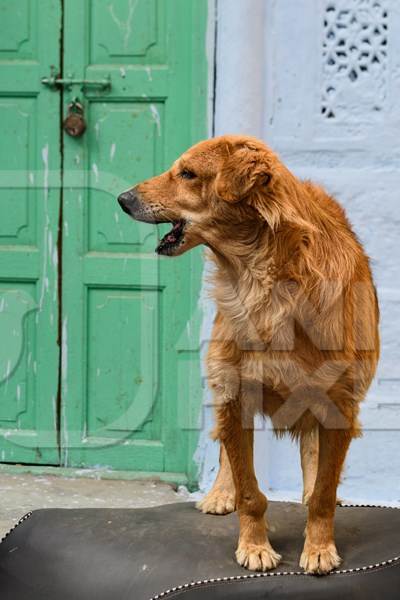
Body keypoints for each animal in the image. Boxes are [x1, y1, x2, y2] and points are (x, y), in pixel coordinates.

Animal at [118, 136, 378, 576]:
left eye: (187, 173)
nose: (122, 199)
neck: (268, 283)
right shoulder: (235, 394)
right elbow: (249, 491)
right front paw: (254, 545)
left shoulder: (341, 403)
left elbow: (324, 490)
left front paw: (319, 546)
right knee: (227, 450)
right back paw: (220, 493)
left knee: (313, 450)